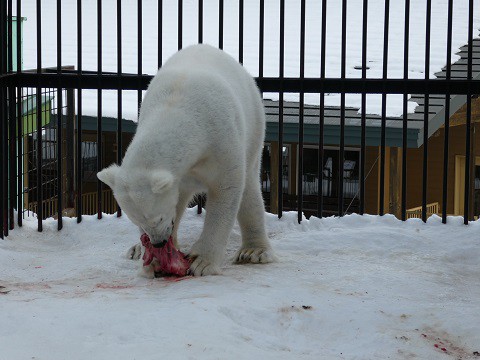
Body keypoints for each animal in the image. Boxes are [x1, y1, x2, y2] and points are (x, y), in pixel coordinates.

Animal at [96, 43, 274, 278]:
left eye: (157, 218)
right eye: (138, 222)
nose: (159, 242)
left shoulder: (220, 139)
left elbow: (226, 189)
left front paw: (202, 262)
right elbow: (176, 200)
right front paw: (153, 260)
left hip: (253, 127)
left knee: (249, 190)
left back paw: (254, 251)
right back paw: (136, 250)